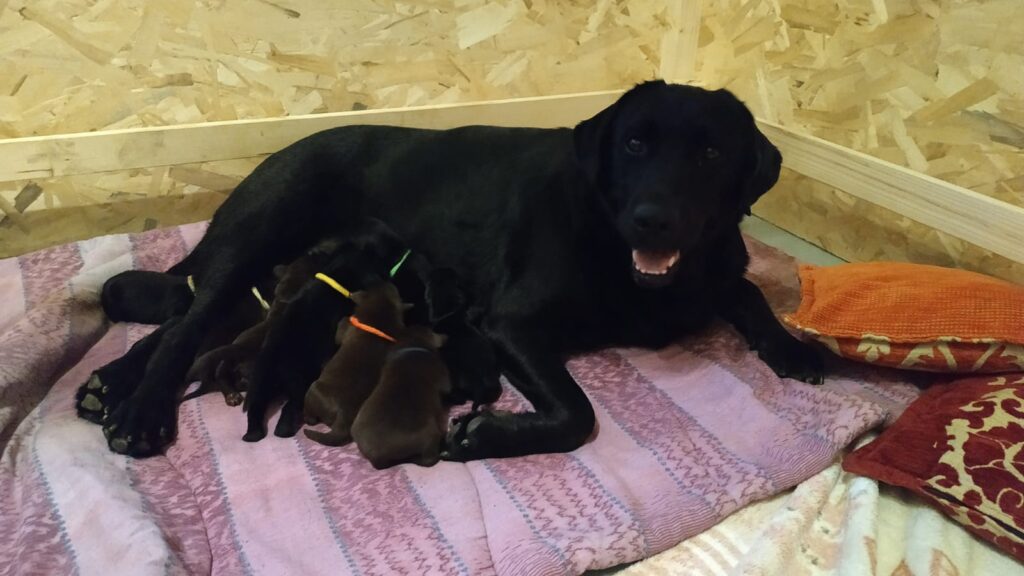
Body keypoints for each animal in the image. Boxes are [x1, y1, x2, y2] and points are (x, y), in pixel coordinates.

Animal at [301, 280, 405, 444]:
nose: (384, 280)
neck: (382, 313)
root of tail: (343, 417)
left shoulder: (344, 330)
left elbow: (342, 324)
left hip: (313, 389)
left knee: (311, 418)